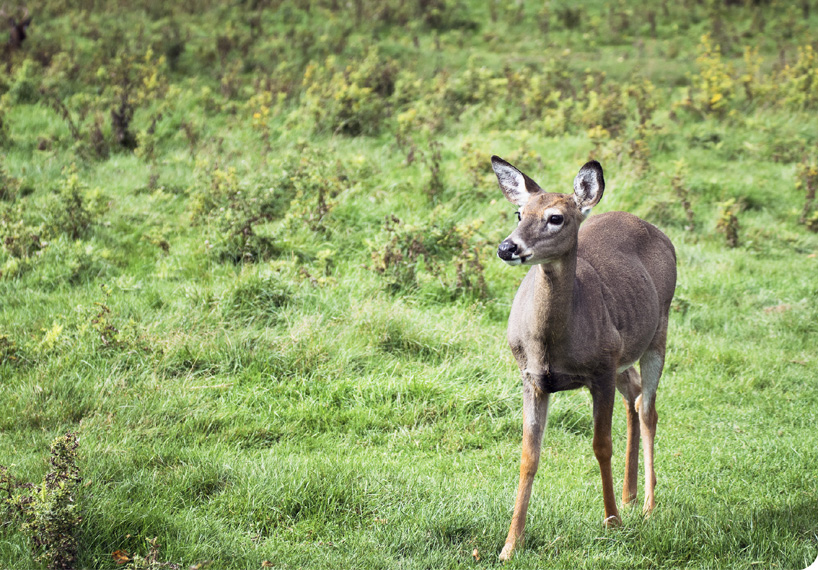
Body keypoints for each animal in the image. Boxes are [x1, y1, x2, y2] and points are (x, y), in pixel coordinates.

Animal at [490, 156, 676, 560]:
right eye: (519, 212)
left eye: (556, 217)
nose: (507, 247)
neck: (552, 345)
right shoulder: (530, 377)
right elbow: (529, 456)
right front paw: (511, 544)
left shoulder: (600, 370)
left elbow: (601, 446)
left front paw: (612, 521)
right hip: (623, 351)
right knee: (634, 394)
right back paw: (629, 494)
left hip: (658, 331)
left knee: (649, 408)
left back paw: (648, 505)